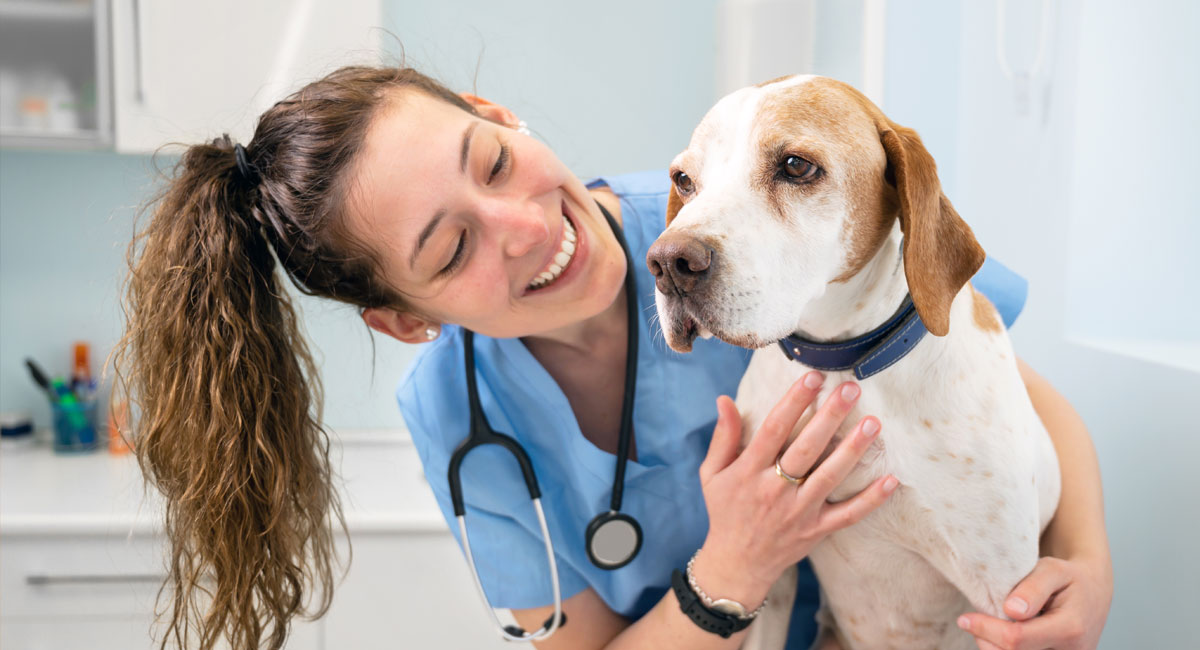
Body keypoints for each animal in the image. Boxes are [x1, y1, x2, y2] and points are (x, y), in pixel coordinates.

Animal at [648, 73, 1060, 647]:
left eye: (796, 165)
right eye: (684, 180)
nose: (667, 263)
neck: (843, 364)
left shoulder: (1005, 604)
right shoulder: (768, 575)